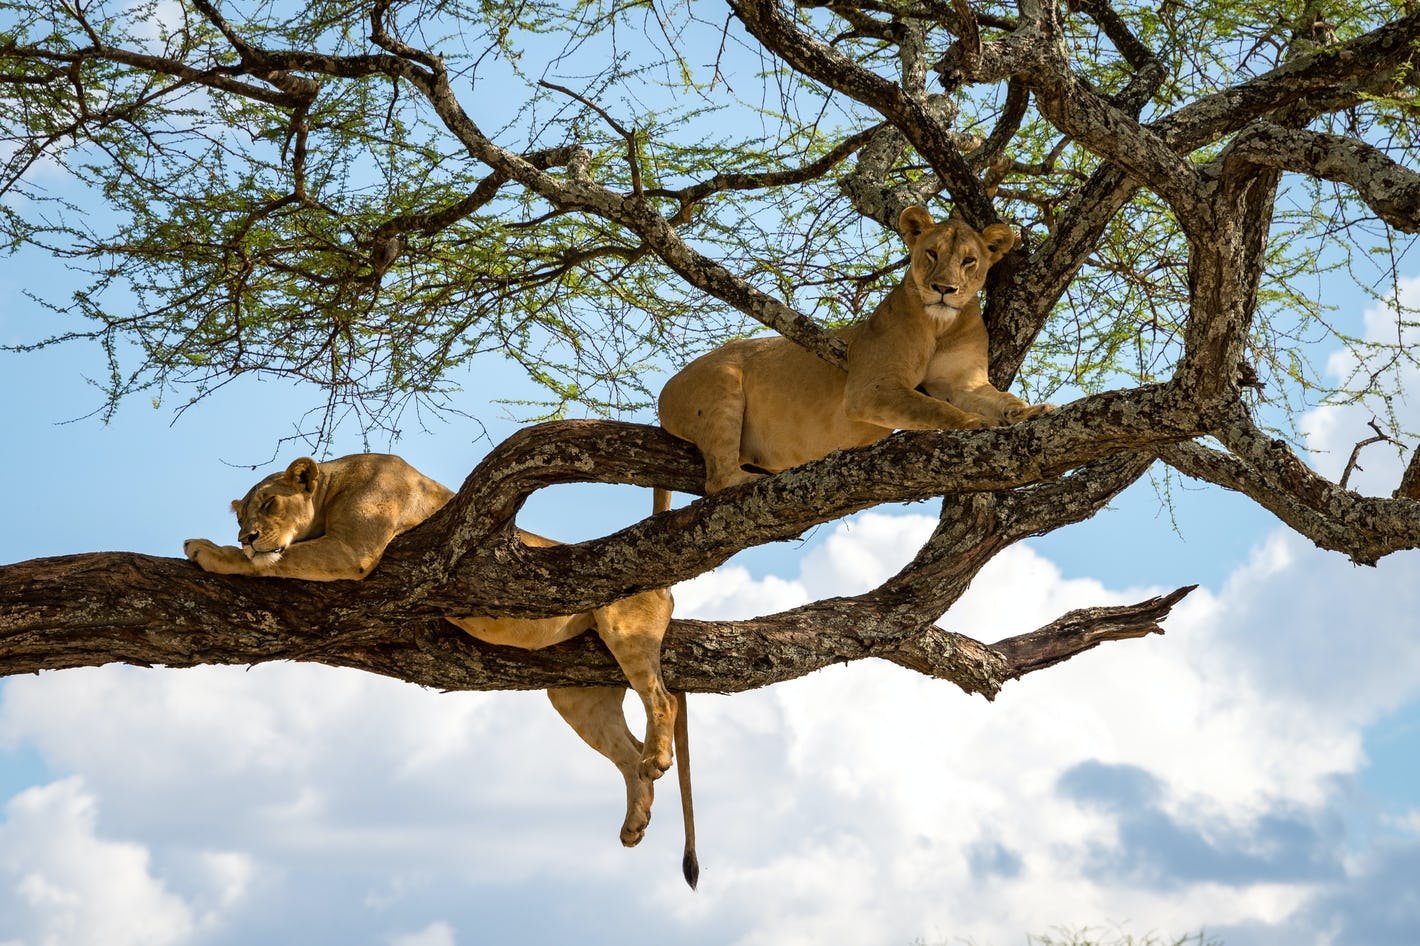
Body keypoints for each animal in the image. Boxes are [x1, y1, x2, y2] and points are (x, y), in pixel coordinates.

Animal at [184, 453, 699, 887]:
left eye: (269, 503)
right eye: (240, 517)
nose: (246, 536)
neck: (332, 488)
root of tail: (668, 585)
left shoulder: (352, 549)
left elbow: (277, 561)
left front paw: (210, 551)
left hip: (625, 630)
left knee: (661, 699)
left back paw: (657, 760)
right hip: (578, 695)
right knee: (627, 753)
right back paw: (635, 822)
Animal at [658, 205, 1051, 495]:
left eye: (969, 261)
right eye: (932, 253)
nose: (944, 289)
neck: (941, 325)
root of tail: (667, 388)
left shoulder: (963, 382)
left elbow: (1001, 399)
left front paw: (1033, 410)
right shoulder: (870, 388)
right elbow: (934, 407)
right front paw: (974, 423)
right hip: (721, 385)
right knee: (717, 480)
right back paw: (749, 480)